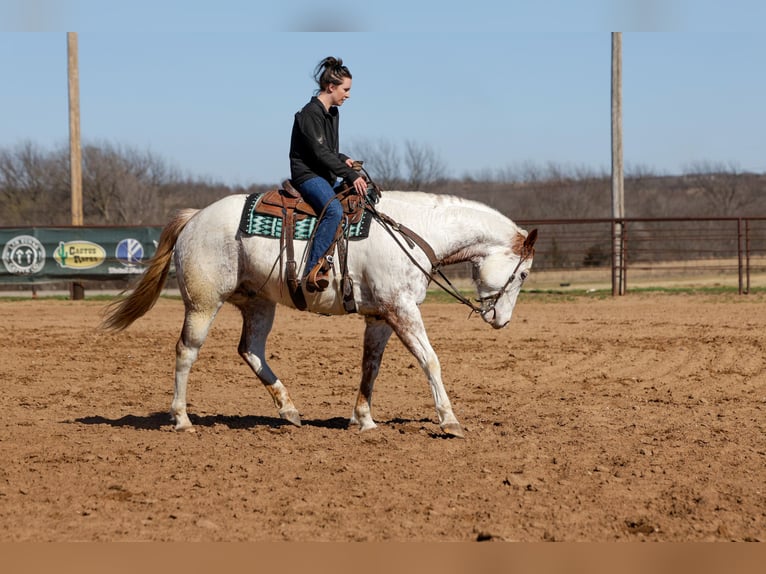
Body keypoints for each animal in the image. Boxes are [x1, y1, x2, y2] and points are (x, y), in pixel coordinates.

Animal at [102, 190, 537, 438]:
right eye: (524, 273)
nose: (501, 320)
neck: (416, 231)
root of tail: (194, 218)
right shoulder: (401, 309)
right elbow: (430, 361)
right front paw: (449, 420)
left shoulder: (381, 315)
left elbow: (370, 367)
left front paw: (363, 420)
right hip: (203, 302)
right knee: (186, 351)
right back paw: (181, 419)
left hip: (258, 303)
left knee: (251, 350)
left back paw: (289, 410)